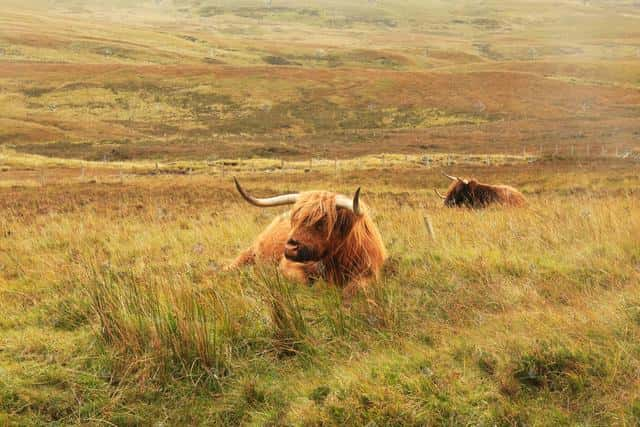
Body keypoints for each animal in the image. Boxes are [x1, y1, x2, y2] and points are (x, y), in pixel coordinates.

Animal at [226, 178, 384, 298]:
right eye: (295, 219)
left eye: (322, 221)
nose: (290, 247)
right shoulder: (288, 266)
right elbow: (305, 283)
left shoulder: (370, 271)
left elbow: (355, 288)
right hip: (249, 253)